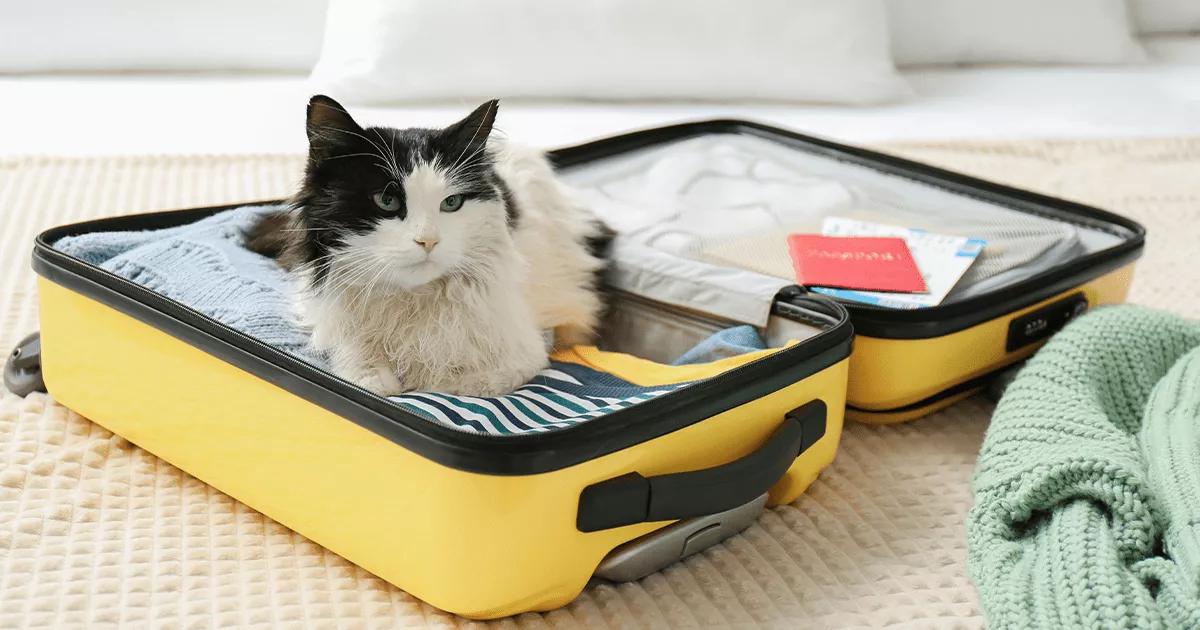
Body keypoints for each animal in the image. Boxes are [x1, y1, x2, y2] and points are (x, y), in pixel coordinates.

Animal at [250, 96, 609, 396]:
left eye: (451, 203)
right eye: (387, 201)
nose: (429, 240)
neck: (412, 299)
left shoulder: (521, 355)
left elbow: (451, 383)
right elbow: (364, 370)